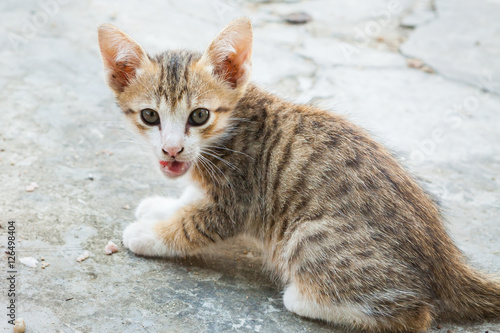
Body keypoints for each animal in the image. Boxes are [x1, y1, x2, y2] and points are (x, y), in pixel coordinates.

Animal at [97, 18, 500, 332]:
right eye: (150, 116)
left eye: (199, 116)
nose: (172, 149)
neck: (234, 124)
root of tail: (446, 262)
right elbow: (188, 201)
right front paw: (162, 207)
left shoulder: (237, 200)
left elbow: (191, 226)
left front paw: (147, 234)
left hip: (308, 237)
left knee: (417, 315)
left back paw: (303, 298)